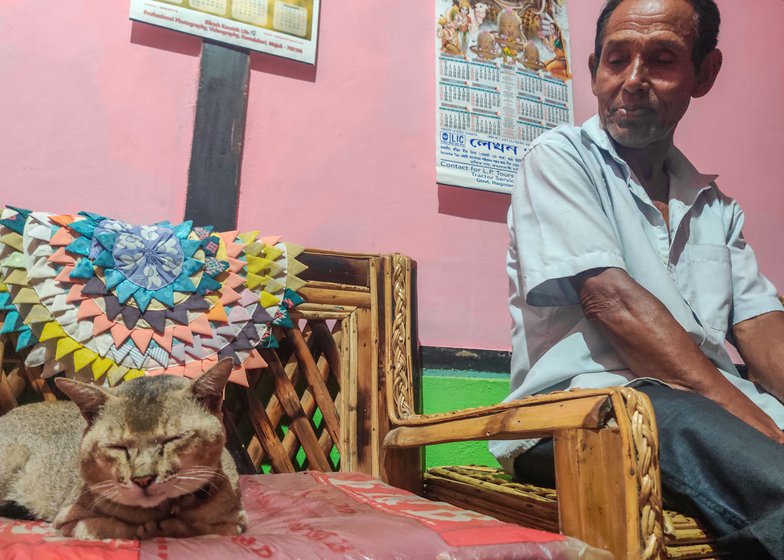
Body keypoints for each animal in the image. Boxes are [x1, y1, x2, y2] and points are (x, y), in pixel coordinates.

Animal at [0, 358, 247, 540]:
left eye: (172, 439)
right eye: (117, 446)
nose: (143, 479)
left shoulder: (237, 522)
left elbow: (206, 528)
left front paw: (169, 525)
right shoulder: (68, 520)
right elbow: (117, 527)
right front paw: (148, 527)